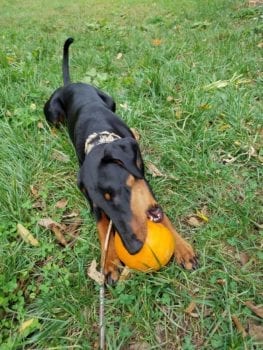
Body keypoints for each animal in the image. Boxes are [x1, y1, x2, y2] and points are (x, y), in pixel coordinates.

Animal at [43, 38, 198, 284]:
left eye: (116, 194)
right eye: (101, 204)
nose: (133, 248)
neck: (99, 139)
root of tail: (71, 84)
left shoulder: (143, 179)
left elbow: (161, 213)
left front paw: (183, 248)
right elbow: (101, 227)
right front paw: (108, 263)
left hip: (109, 100)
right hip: (51, 111)